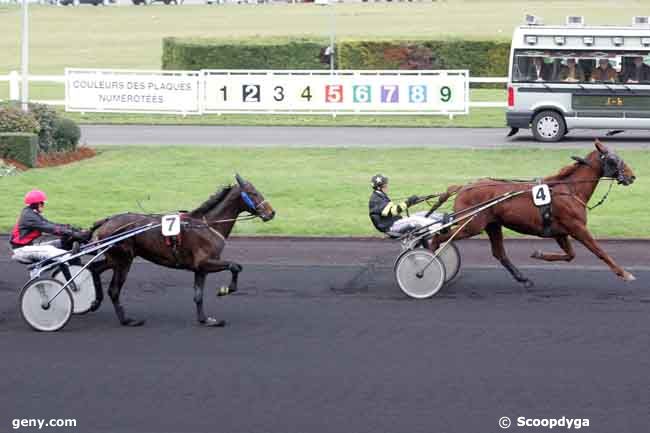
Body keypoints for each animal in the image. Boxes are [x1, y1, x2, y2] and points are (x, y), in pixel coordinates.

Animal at [88, 174, 274, 326]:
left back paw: (95, 303)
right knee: (113, 290)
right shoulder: (205, 262)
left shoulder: (201, 269)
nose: (272, 213)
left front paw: (205, 320)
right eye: (253, 193)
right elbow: (235, 266)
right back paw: (126, 320)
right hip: (123, 260)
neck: (206, 226)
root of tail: (106, 221)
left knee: (94, 268)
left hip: (114, 259)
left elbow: (198, 295)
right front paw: (225, 290)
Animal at [430, 140, 632, 286]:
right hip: (471, 226)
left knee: (499, 253)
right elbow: (600, 251)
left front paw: (539, 254)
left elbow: (570, 255)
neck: (570, 190)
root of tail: (463, 187)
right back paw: (430, 261)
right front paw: (624, 273)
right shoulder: (577, 228)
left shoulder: (560, 232)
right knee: (438, 237)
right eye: (614, 159)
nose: (632, 176)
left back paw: (522, 278)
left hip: (492, 225)